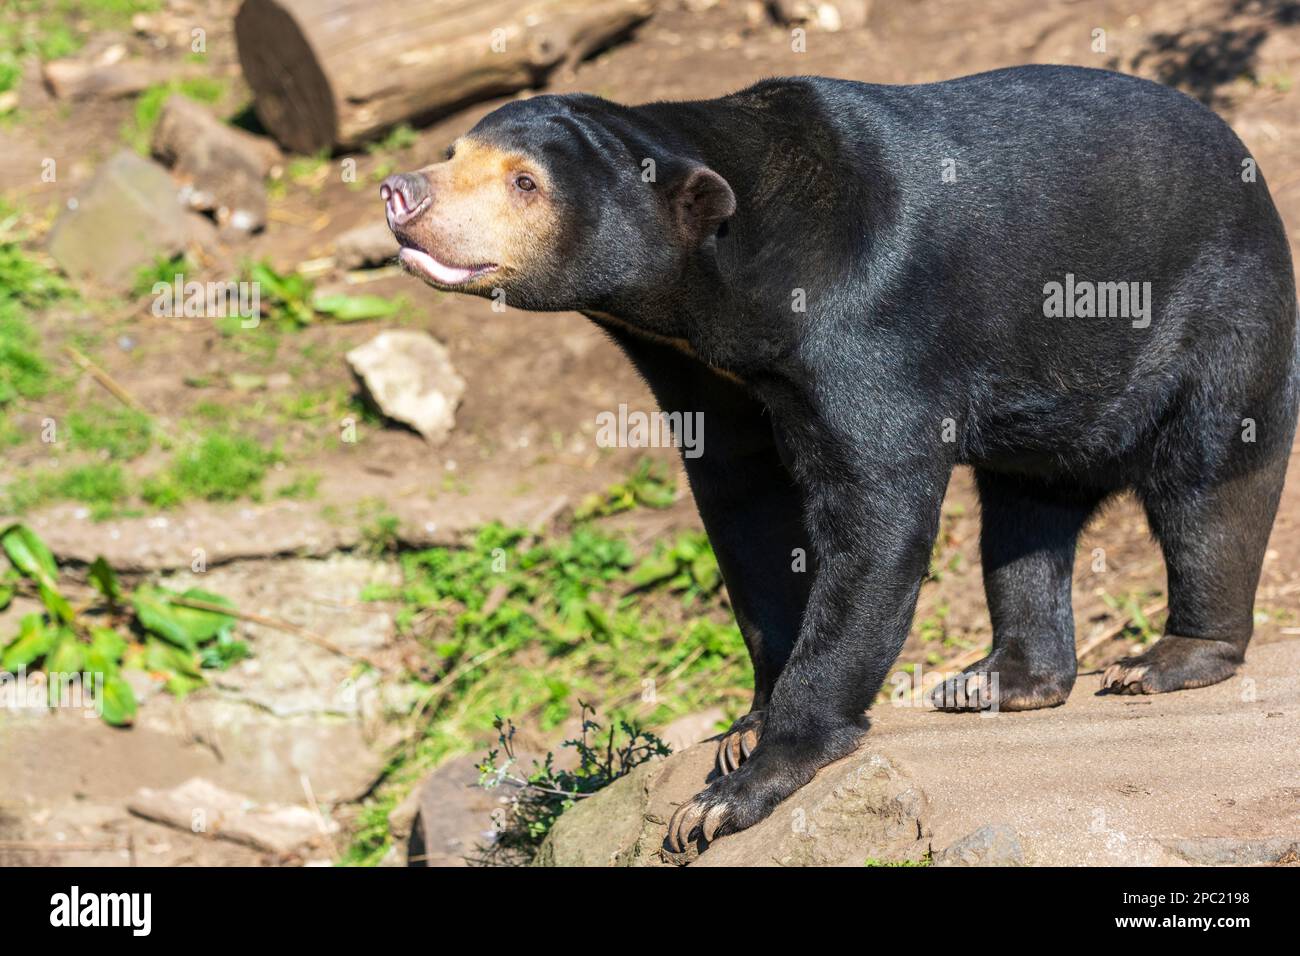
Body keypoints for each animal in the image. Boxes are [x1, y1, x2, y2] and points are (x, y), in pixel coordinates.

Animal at [379, 65, 1294, 853]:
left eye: (524, 183)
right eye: (454, 152)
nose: (400, 192)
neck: (718, 292)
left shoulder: (865, 326)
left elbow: (873, 516)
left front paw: (730, 795)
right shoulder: (710, 377)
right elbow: (747, 515)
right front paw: (743, 727)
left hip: (1219, 315)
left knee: (1209, 485)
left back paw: (1165, 659)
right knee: (1025, 511)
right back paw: (999, 680)